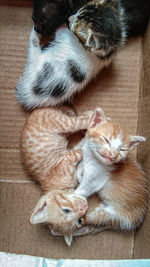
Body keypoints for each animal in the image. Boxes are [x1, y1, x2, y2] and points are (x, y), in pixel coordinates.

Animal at [20, 107, 94, 237]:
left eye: (66, 210)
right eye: (78, 221)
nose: (83, 209)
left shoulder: (69, 156)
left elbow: (80, 151)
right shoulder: (70, 154)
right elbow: (81, 148)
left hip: (64, 124)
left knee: (81, 121)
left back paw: (92, 116)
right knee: (78, 118)